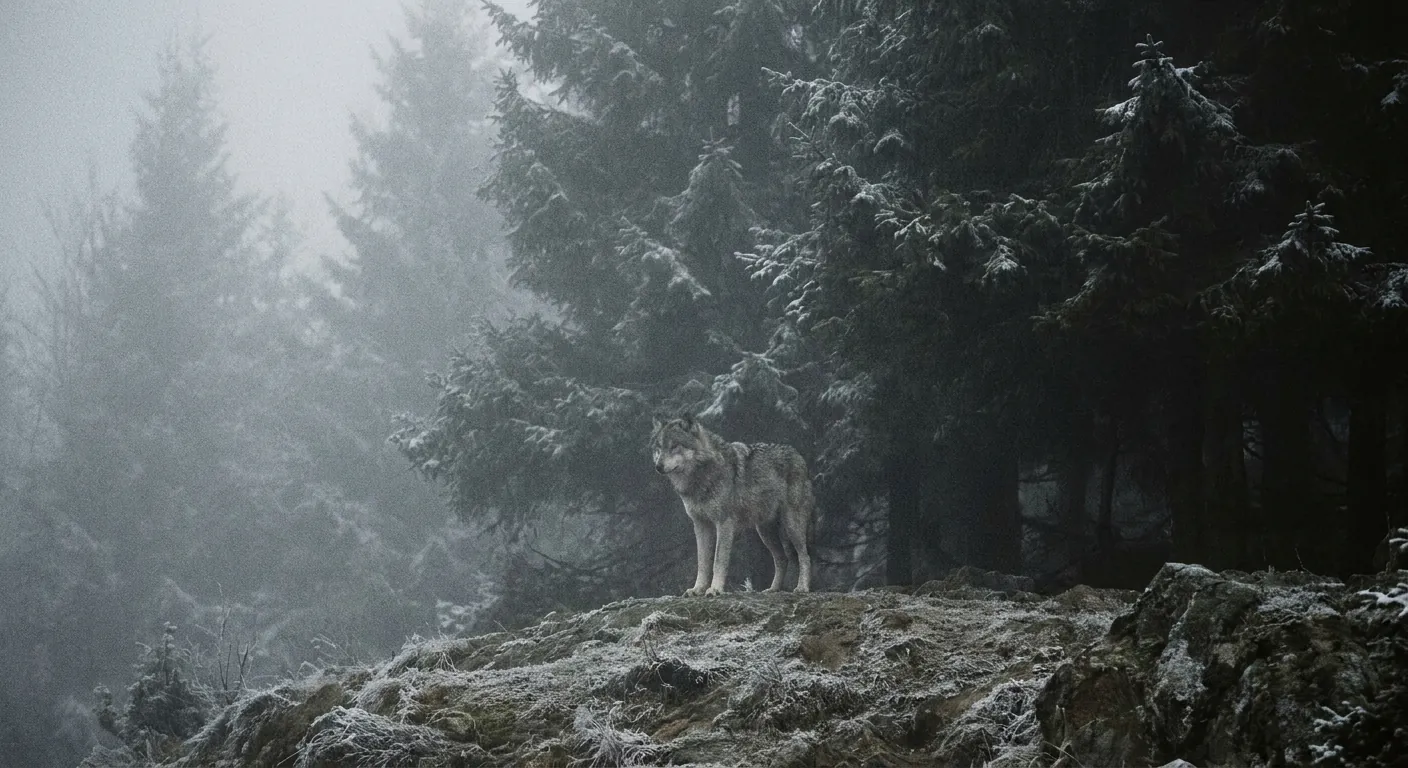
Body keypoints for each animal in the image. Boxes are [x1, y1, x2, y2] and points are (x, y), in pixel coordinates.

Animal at [650, 414, 814, 596]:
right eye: (659, 448)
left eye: (675, 446)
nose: (658, 466)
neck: (700, 479)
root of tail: (798, 455)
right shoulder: (701, 525)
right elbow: (702, 563)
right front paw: (697, 589)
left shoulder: (724, 523)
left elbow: (718, 560)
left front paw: (715, 589)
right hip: (765, 532)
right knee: (782, 558)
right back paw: (773, 589)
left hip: (792, 525)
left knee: (804, 556)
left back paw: (802, 587)